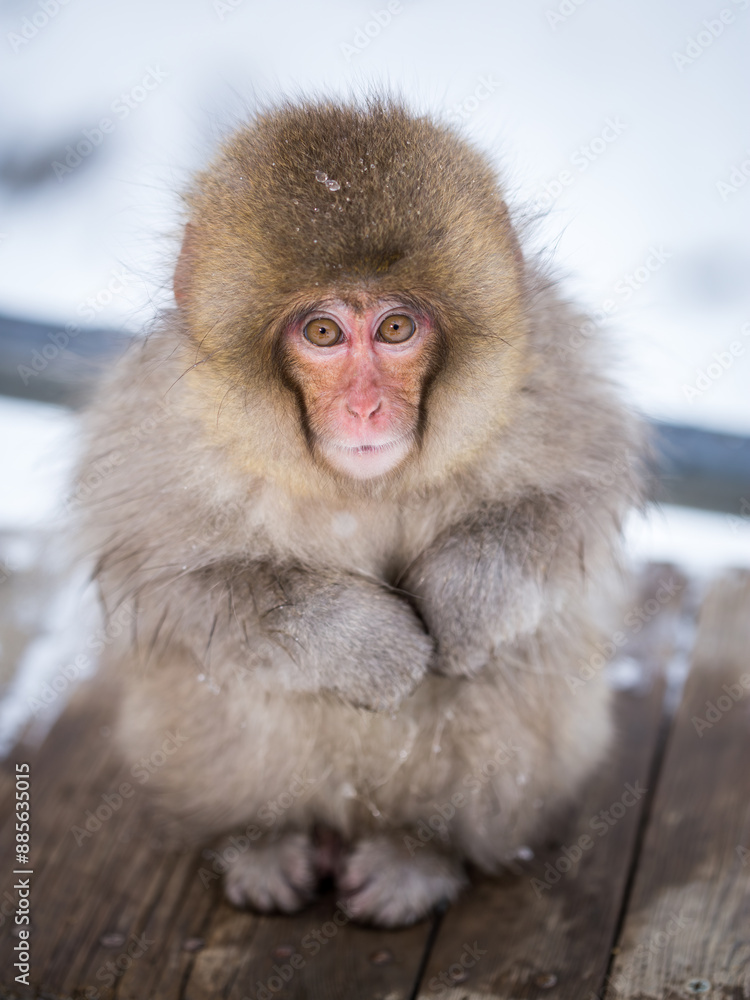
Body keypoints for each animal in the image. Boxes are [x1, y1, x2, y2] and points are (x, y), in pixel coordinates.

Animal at [75, 98, 643, 928]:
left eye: (397, 329)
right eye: (322, 333)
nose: (366, 407)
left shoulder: (548, 373)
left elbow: (574, 502)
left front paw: (463, 598)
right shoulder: (159, 424)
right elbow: (169, 584)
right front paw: (371, 645)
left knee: (517, 659)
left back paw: (423, 854)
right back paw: (261, 842)